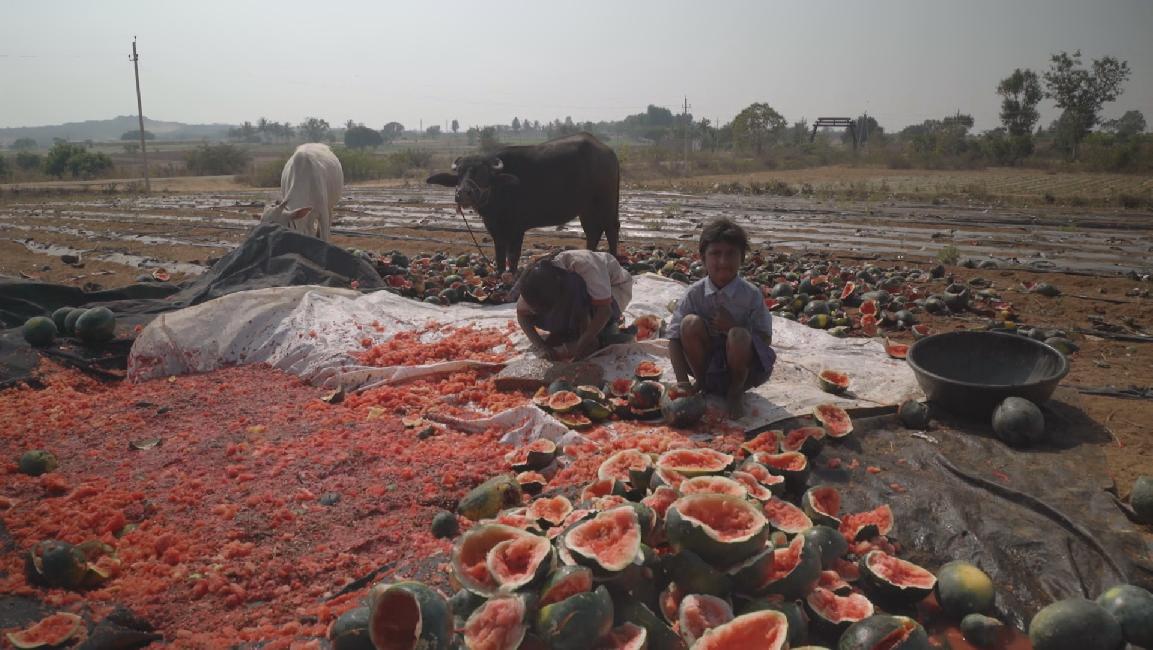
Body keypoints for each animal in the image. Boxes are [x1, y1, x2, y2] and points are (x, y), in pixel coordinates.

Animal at [426, 131, 622, 274]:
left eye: (482, 173)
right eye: (459, 173)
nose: (463, 193)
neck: (500, 192)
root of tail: (608, 152)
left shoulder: (517, 228)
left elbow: (513, 255)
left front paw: (512, 274)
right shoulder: (495, 229)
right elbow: (500, 255)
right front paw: (499, 273)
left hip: (606, 202)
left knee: (611, 227)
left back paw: (614, 258)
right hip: (586, 208)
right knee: (593, 231)